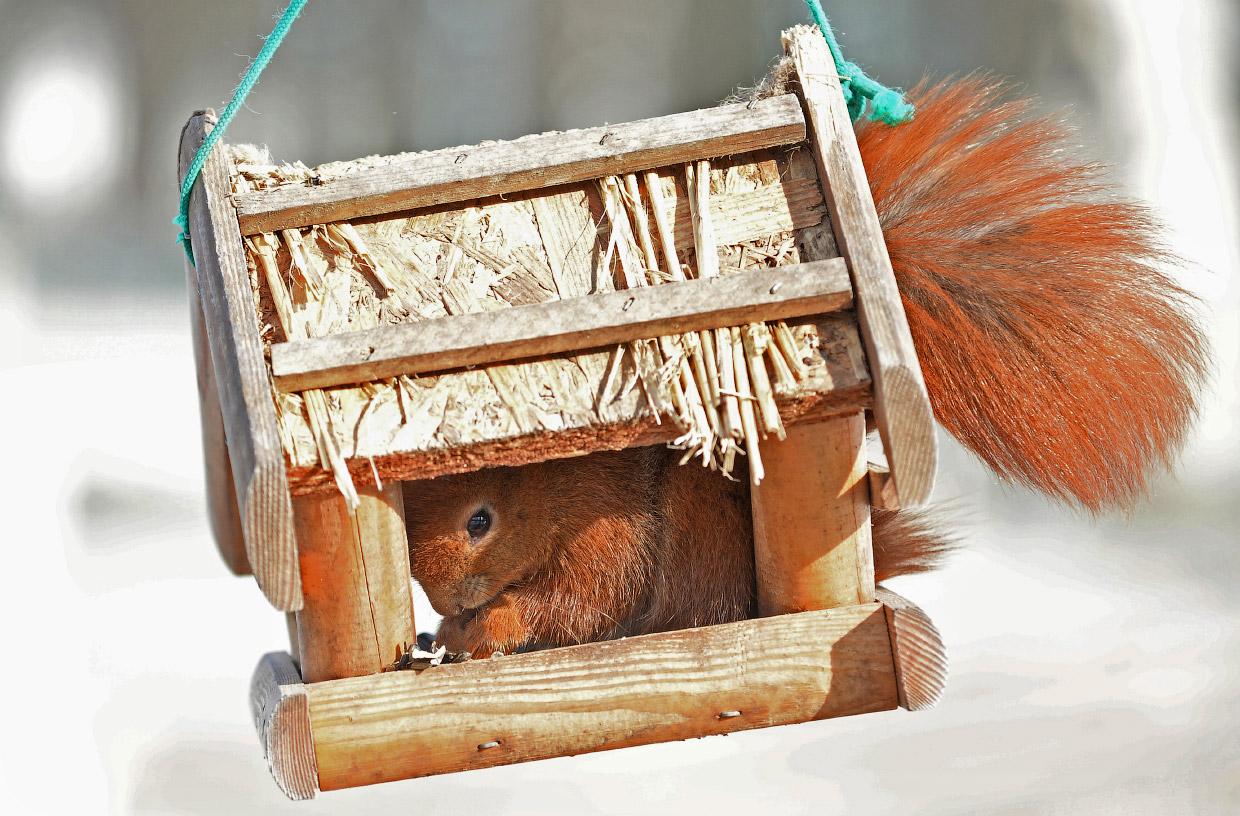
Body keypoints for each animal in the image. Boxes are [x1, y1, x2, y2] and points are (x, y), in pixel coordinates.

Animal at [401, 76, 1205, 654]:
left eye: (480, 521)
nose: (441, 601)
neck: (551, 487)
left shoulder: (607, 527)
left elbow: (581, 601)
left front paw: (483, 627)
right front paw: (445, 632)